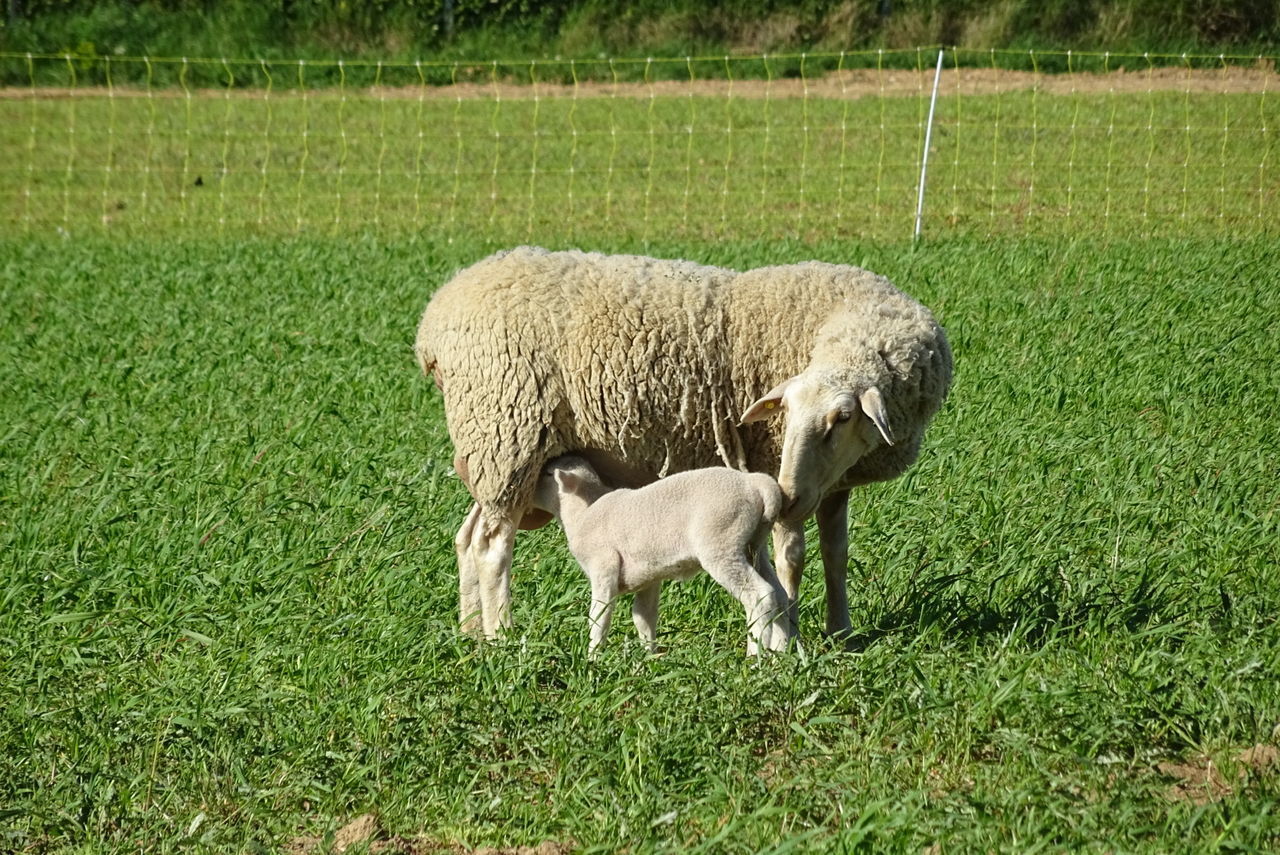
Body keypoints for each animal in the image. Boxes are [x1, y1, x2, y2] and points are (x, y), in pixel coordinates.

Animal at [414, 247, 957, 639]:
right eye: (785, 413)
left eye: (843, 418)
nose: (788, 493)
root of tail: (433, 323)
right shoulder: (774, 463)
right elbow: (792, 558)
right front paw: (795, 635)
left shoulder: (834, 483)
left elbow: (836, 553)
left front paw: (840, 632)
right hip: (508, 435)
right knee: (491, 547)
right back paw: (501, 637)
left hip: (495, 453)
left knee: (467, 537)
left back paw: (469, 633)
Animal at [527, 458, 788, 660]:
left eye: (548, 474)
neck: (581, 513)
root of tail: (756, 483)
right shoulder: (648, 577)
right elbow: (643, 617)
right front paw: (649, 658)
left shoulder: (603, 566)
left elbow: (599, 617)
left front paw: (592, 659)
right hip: (754, 546)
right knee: (780, 594)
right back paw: (782, 652)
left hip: (722, 543)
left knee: (759, 595)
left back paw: (755, 656)